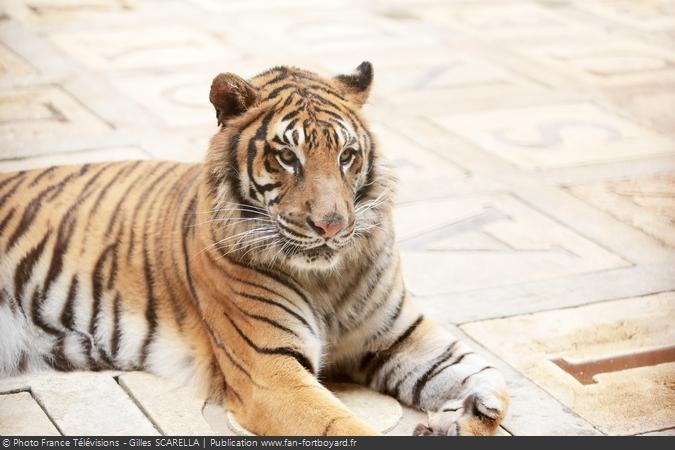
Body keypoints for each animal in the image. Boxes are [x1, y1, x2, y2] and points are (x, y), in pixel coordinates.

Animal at [0, 62, 508, 436]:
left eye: (347, 156)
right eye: (287, 157)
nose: (331, 225)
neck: (328, 278)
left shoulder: (400, 335)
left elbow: (491, 381)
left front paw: (462, 417)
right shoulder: (271, 372)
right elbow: (344, 426)